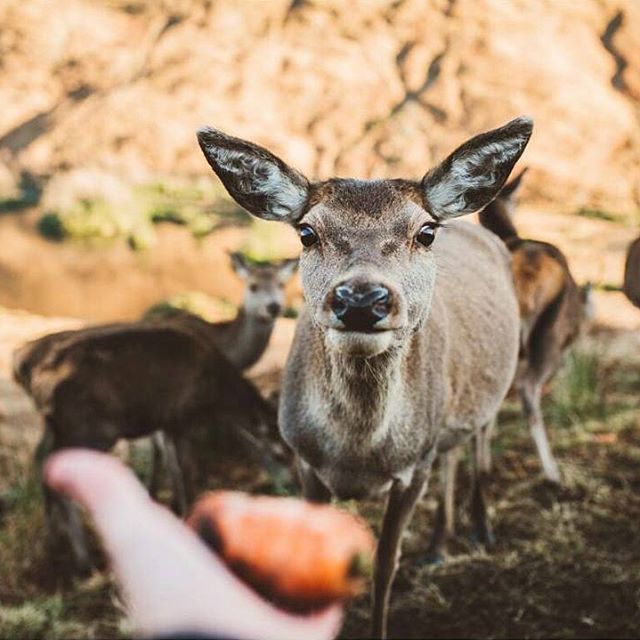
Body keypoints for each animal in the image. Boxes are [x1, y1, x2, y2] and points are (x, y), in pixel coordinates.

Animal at [196, 116, 533, 638]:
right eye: (306, 232)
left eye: (425, 232)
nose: (360, 299)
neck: (357, 453)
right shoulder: (303, 460)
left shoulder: (413, 466)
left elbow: (385, 565)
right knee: (453, 451)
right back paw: (438, 546)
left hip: (497, 380)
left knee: (477, 441)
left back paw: (480, 529)